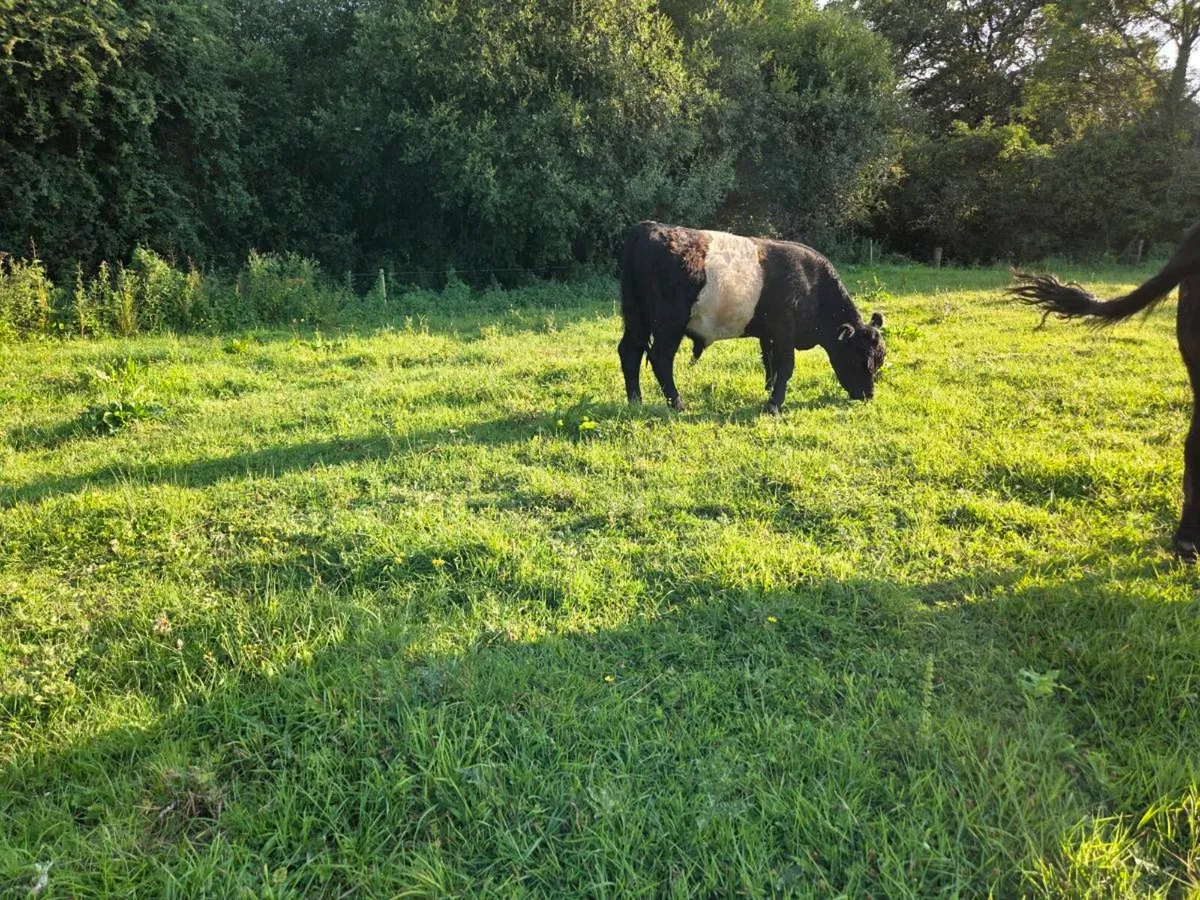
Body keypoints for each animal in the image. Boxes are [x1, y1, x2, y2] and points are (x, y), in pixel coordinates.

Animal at [617, 221, 887, 414]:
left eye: (879, 361)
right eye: (860, 359)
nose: (868, 395)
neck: (812, 284)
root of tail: (647, 227)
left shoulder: (769, 335)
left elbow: (770, 364)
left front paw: (768, 391)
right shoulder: (784, 332)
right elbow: (785, 367)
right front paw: (774, 405)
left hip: (636, 317)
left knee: (630, 350)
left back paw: (635, 401)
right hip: (669, 322)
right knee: (661, 358)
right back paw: (678, 404)